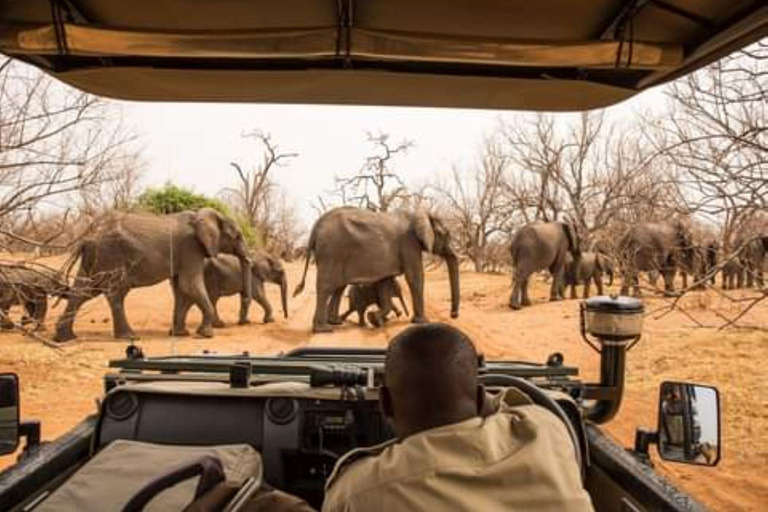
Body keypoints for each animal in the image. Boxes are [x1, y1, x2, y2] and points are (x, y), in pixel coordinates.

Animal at [54, 208, 252, 344]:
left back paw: (65, 338)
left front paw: (179, 334)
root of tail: (87, 238)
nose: (244, 322)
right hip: (112, 255)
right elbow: (189, 285)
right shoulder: (190, 248)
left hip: (96, 258)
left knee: (85, 291)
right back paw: (129, 337)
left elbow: (181, 288)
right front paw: (206, 335)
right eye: (237, 236)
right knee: (115, 293)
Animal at [296, 206, 460, 334]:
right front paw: (423, 322)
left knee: (338, 287)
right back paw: (323, 329)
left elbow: (384, 283)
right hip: (332, 252)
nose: (454, 315)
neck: (419, 214)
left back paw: (334, 323)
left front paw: (374, 319)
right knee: (326, 287)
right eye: (446, 234)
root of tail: (317, 225)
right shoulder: (409, 244)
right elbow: (415, 277)